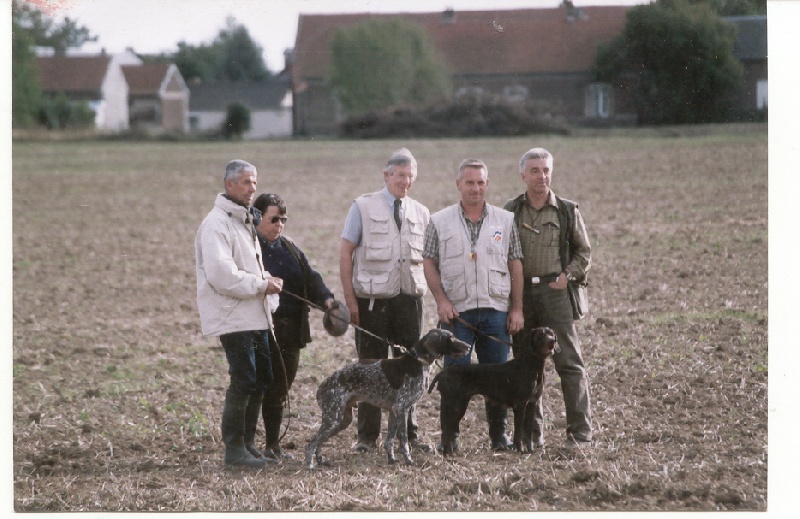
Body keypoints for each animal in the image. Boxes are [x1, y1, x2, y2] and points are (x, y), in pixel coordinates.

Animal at [428, 330, 560, 456]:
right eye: (541, 334)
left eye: (551, 333)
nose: (552, 341)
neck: (533, 365)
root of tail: (443, 372)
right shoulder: (520, 404)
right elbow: (519, 431)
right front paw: (520, 450)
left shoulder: (532, 403)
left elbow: (527, 431)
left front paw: (530, 450)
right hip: (457, 405)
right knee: (448, 428)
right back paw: (448, 452)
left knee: (448, 428)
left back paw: (448, 452)